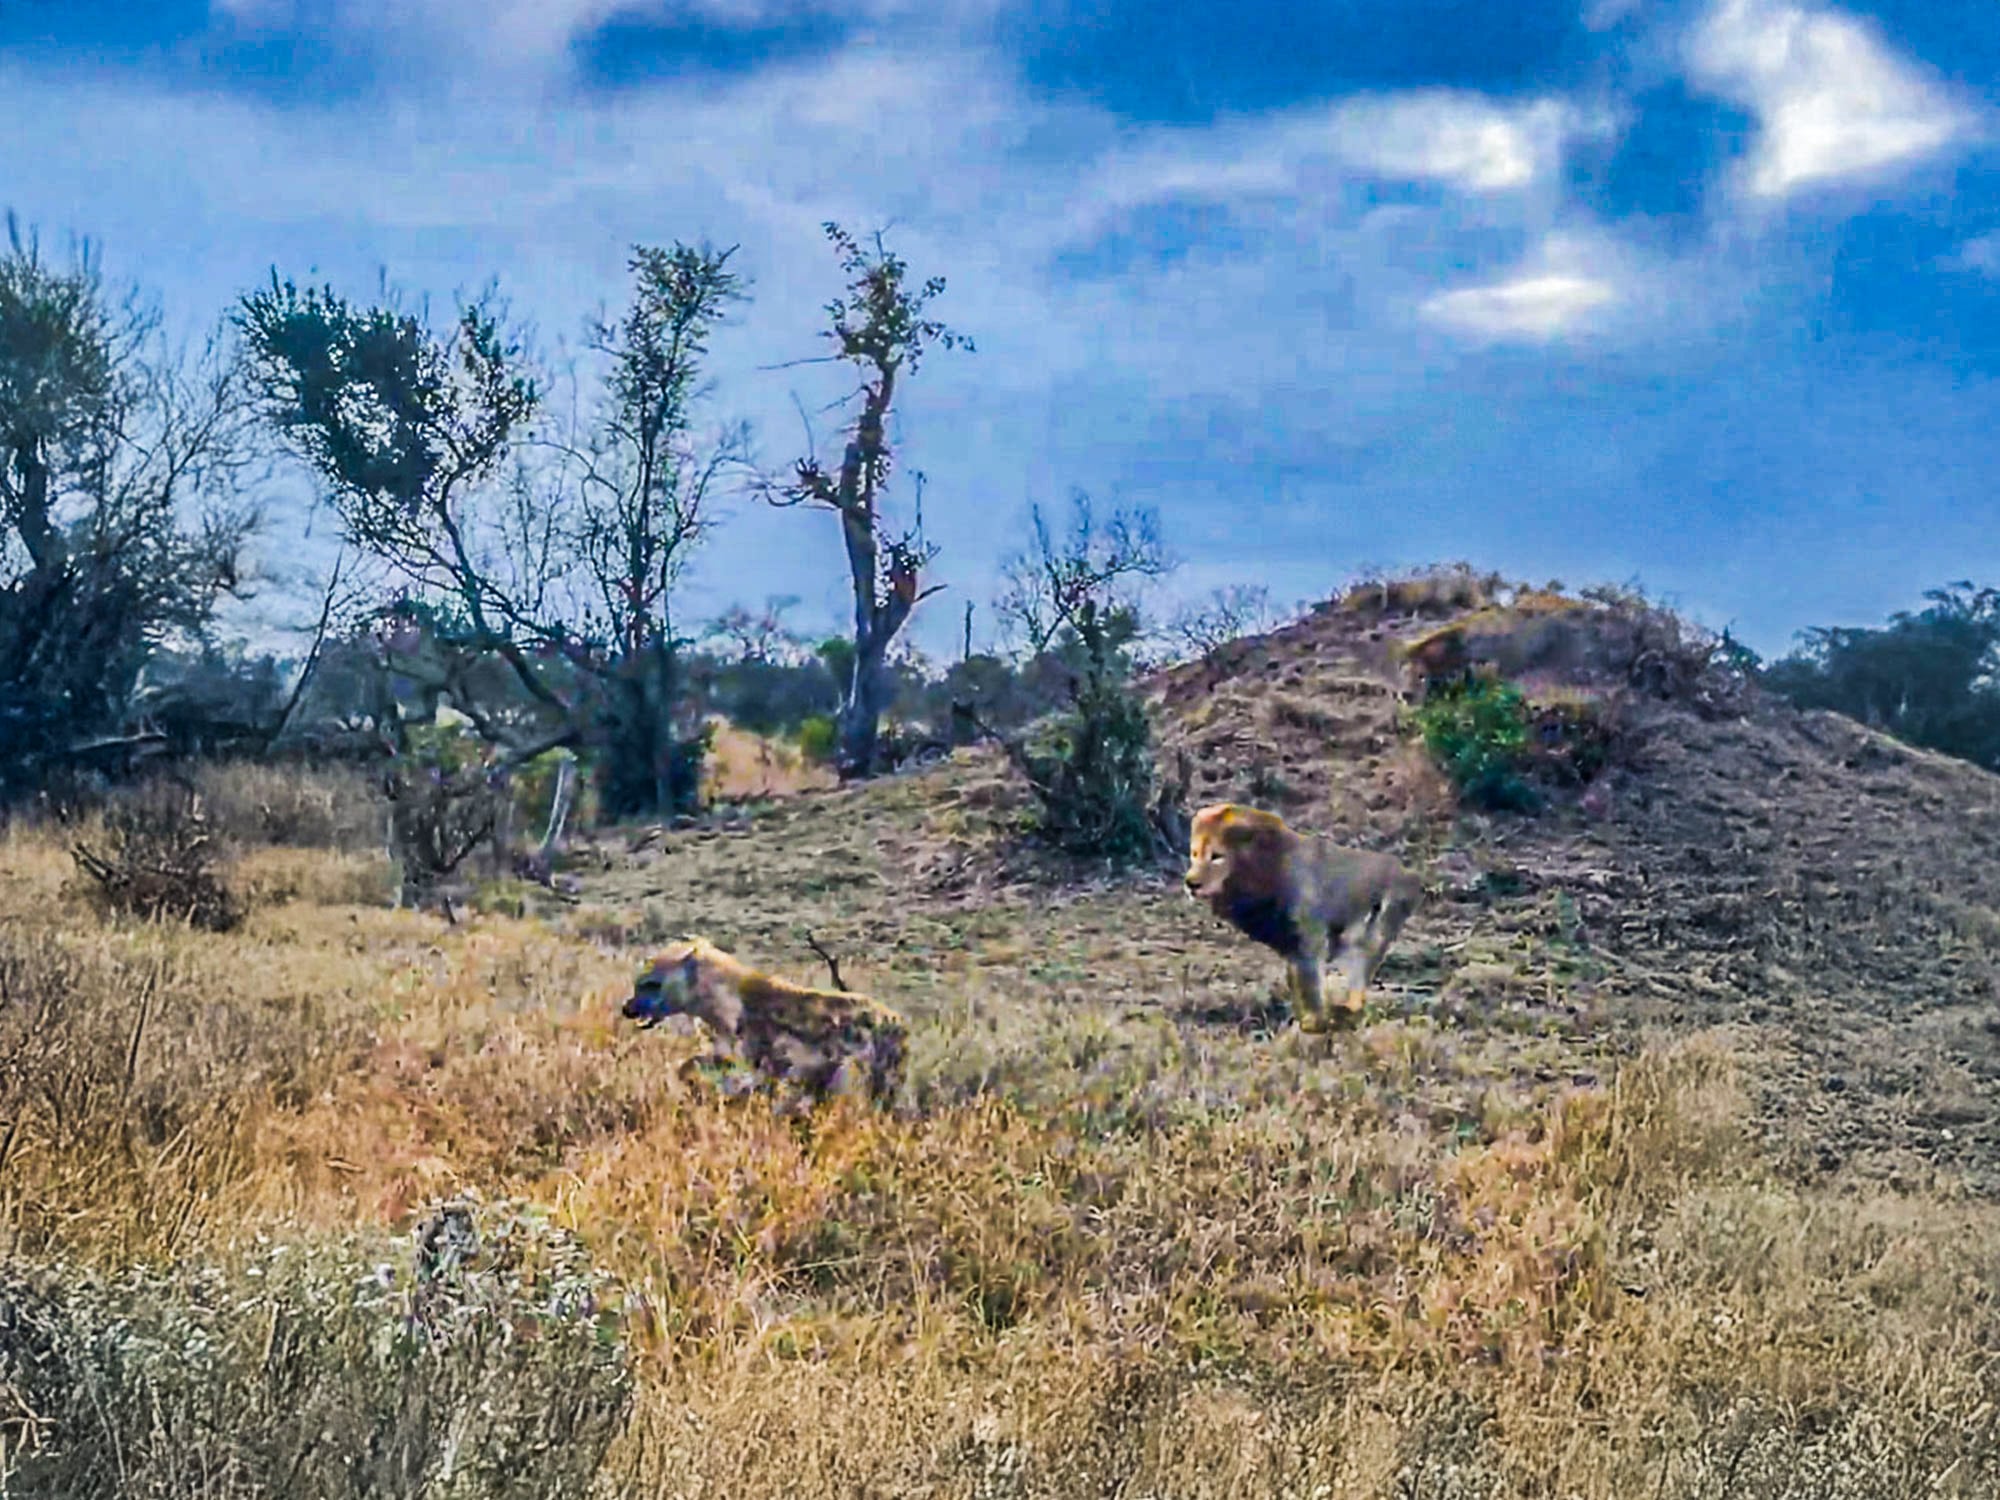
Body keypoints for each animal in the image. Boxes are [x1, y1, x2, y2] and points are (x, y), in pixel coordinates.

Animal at [621, 935, 908, 1106]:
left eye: (652, 984)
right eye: (637, 983)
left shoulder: (765, 1059)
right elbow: (691, 1065)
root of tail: (898, 1020)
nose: (627, 1008)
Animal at [1184, 802, 1423, 1031]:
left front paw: (1313, 1023)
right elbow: (1298, 984)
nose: (1190, 883)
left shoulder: (1309, 940)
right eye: (1194, 854)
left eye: (1216, 856)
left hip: (1365, 941)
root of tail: (1410, 875)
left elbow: (1311, 987)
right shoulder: (1291, 946)